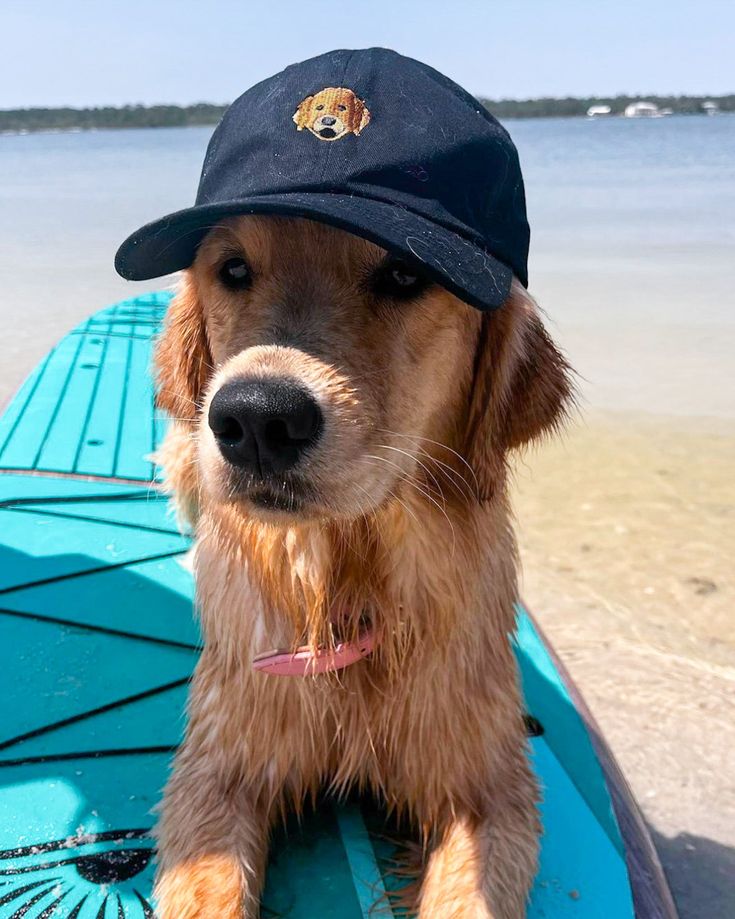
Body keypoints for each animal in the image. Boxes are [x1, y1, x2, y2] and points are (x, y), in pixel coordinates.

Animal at [152, 216, 572, 919]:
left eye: (404, 274)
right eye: (233, 270)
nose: (257, 419)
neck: (349, 584)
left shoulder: (495, 790)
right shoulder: (215, 771)